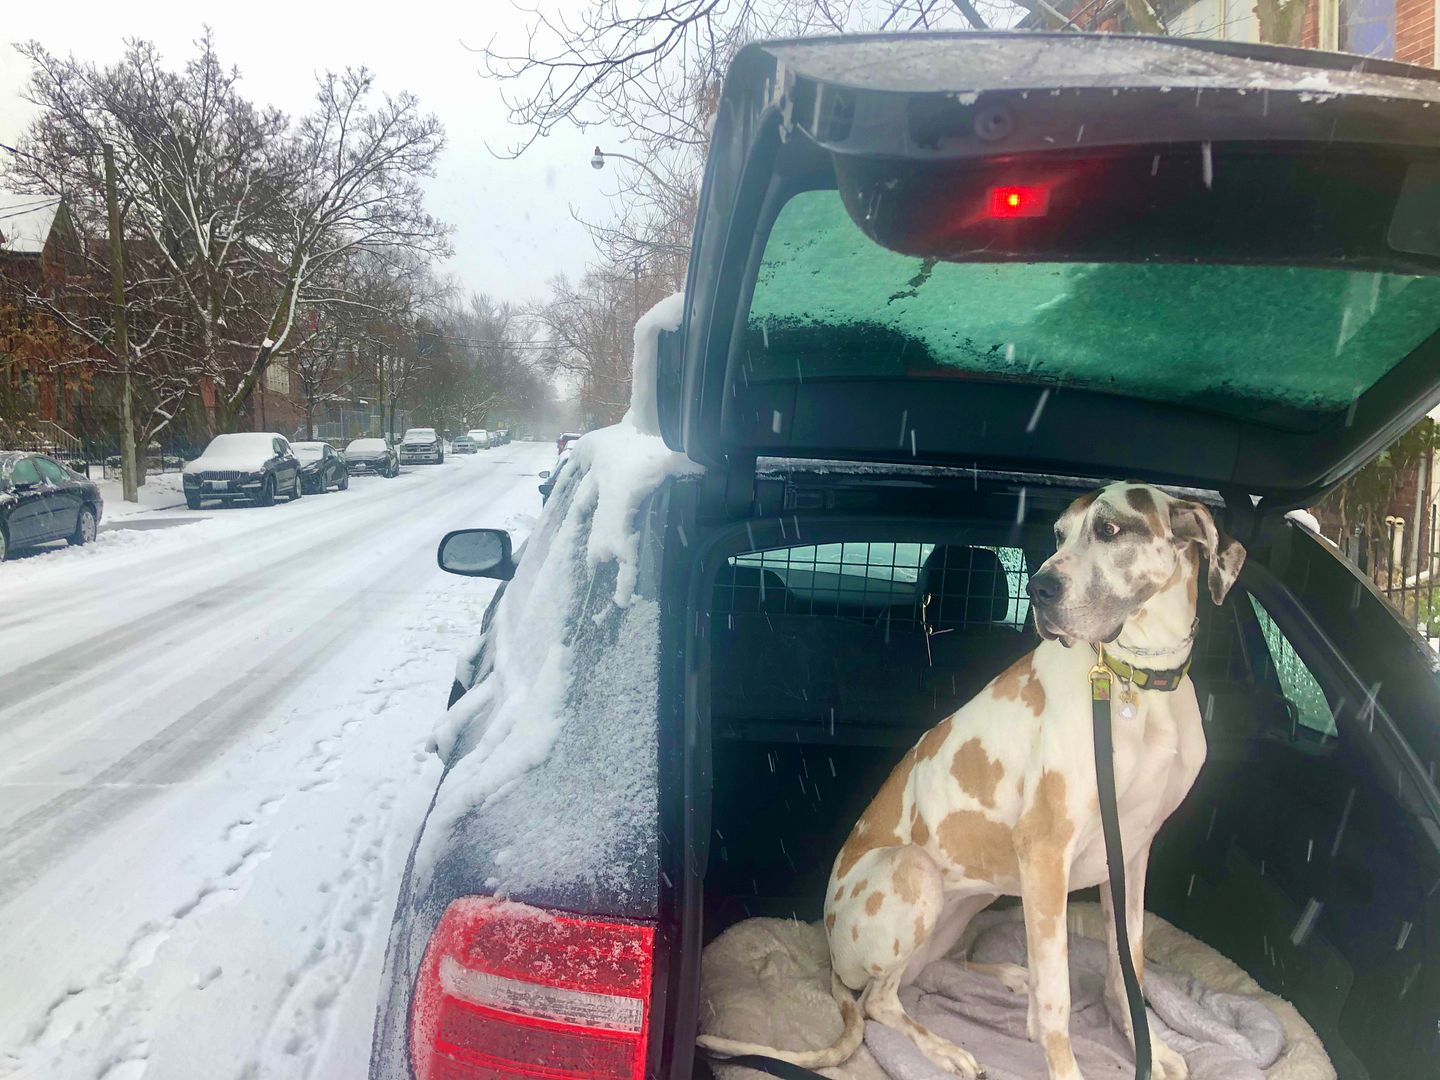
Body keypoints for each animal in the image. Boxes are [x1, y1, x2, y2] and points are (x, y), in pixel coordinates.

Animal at [698, 483, 1244, 1080]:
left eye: (1110, 529)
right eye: (1059, 536)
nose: (1039, 589)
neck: (1135, 686)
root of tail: (830, 955)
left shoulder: (1132, 854)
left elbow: (1129, 971)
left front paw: (1152, 1048)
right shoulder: (1046, 852)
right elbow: (1056, 1002)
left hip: (969, 905)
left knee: (932, 974)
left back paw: (1008, 977)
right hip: (917, 875)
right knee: (879, 1002)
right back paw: (949, 1047)